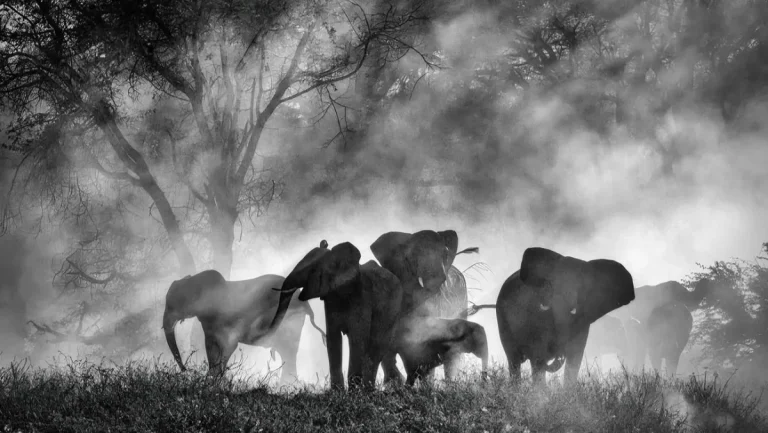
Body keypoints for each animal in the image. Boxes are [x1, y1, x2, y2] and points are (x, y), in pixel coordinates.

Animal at [162, 269, 326, 381]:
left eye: (175, 304)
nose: (186, 370)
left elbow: (229, 346)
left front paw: (215, 380)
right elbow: (210, 347)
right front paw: (211, 379)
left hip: (291, 320)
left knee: (289, 351)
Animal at [269, 241, 404, 391]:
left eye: (312, 271)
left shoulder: (362, 298)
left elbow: (357, 339)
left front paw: (353, 392)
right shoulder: (330, 299)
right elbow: (333, 338)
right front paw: (337, 391)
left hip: (393, 310)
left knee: (377, 347)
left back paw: (368, 390)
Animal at [496, 247, 636, 386]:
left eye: (582, 286)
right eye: (551, 284)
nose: (559, 355)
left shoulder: (584, 320)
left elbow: (575, 357)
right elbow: (538, 355)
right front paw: (541, 392)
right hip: (503, 320)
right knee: (514, 360)